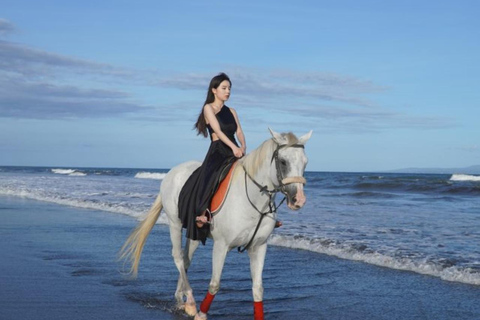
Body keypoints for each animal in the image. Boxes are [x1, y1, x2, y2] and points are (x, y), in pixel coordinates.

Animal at [121, 129, 312, 320]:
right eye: (283, 162)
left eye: (305, 162)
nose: (299, 200)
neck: (252, 199)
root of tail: (171, 173)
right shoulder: (221, 245)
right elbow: (215, 284)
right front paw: (201, 314)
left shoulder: (259, 246)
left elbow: (258, 289)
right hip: (174, 223)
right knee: (178, 257)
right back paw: (191, 302)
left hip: (194, 233)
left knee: (186, 259)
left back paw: (181, 298)